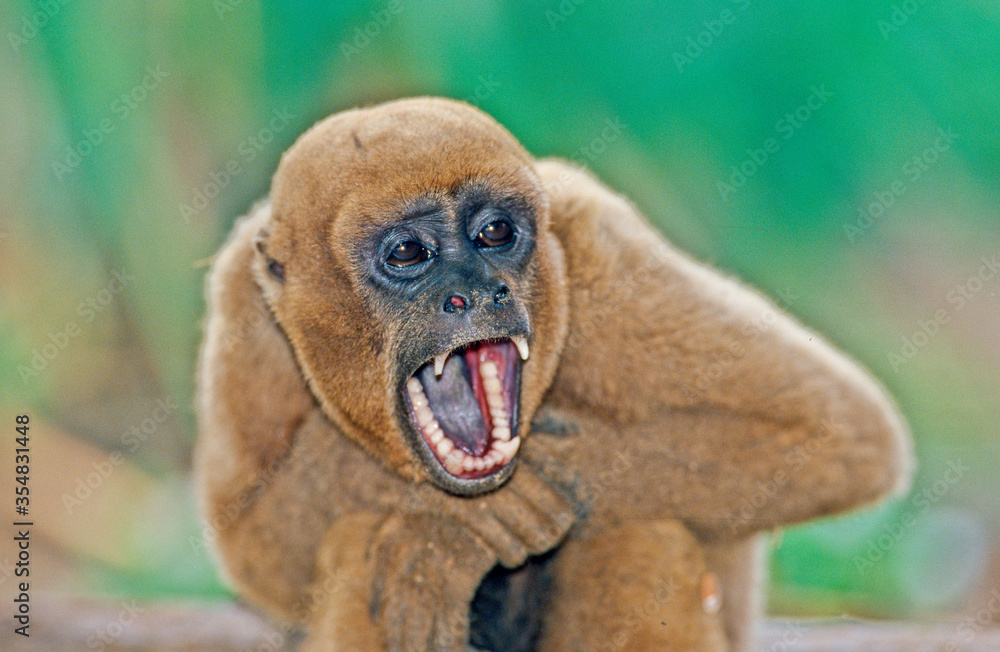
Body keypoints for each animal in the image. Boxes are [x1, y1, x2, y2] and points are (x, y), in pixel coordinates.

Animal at [194, 97, 913, 651]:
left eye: (494, 233)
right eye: (407, 253)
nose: (480, 294)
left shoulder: (601, 258)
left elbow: (844, 434)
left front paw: (453, 539)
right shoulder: (246, 303)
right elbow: (251, 541)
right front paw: (461, 516)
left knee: (637, 526)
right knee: (354, 534)